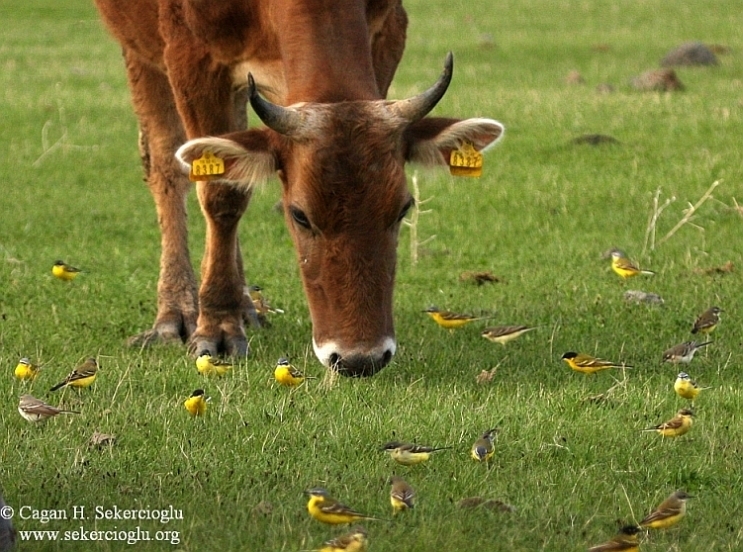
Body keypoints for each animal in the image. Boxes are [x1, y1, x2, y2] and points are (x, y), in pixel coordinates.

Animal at [96, 0, 502, 376]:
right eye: (300, 215)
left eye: (403, 209)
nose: (360, 359)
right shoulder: (191, 54)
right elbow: (221, 191)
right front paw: (217, 325)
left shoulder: (388, 32)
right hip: (140, 50)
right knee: (166, 162)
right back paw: (176, 311)